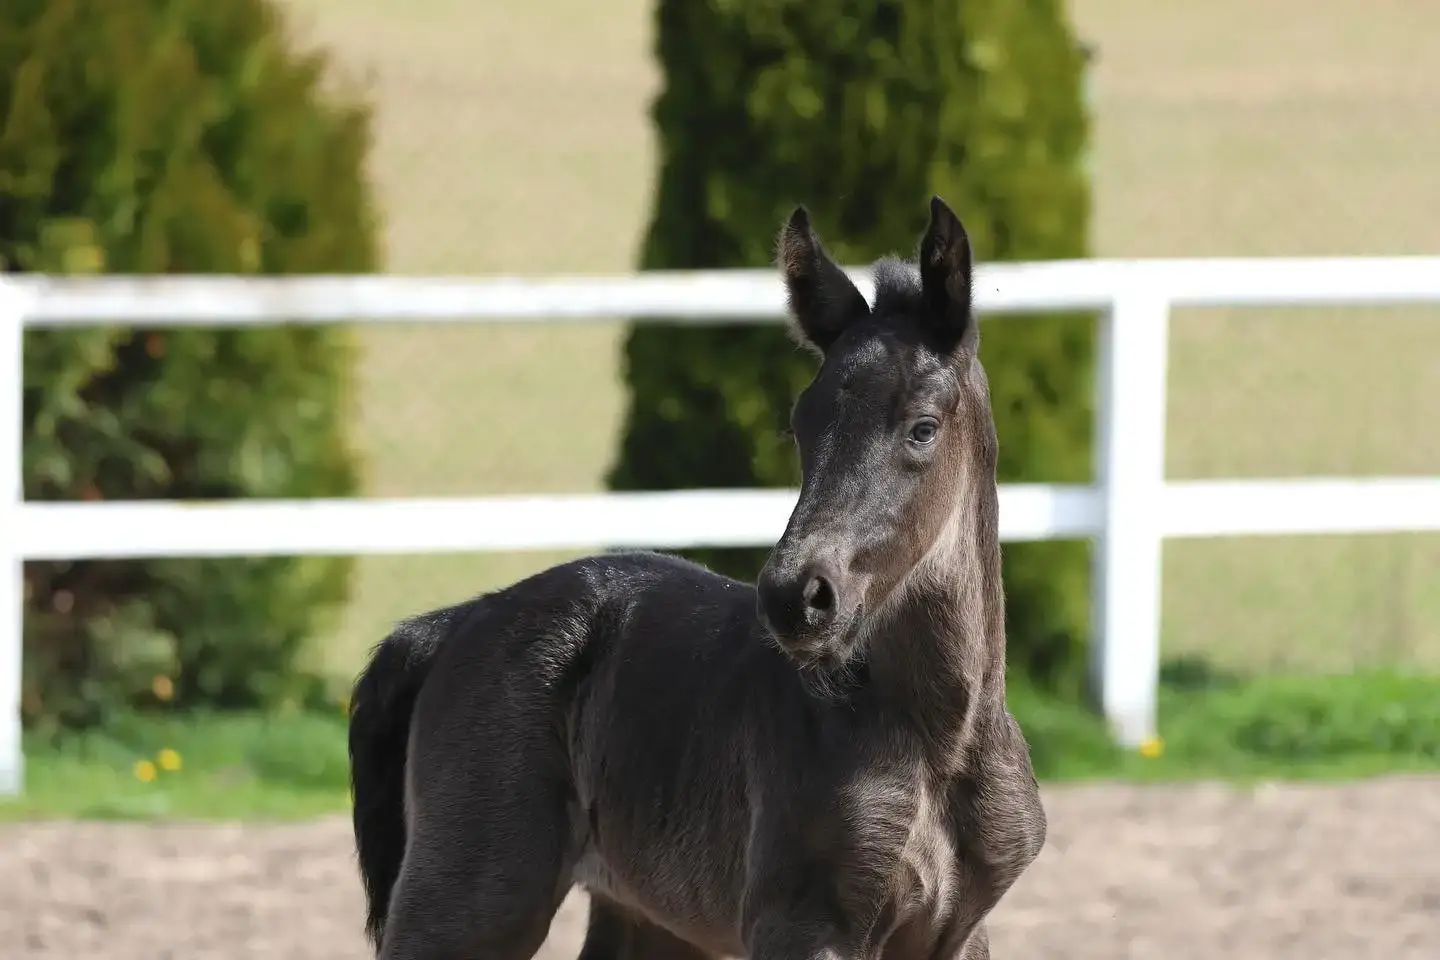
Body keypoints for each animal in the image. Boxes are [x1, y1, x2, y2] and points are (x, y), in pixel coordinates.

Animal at [347, 196, 1047, 960]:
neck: (937, 743)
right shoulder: (799, 925)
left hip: (646, 916)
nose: (794, 598)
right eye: (801, 425)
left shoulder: (958, 933)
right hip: (471, 899)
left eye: (922, 427)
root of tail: (457, 623)